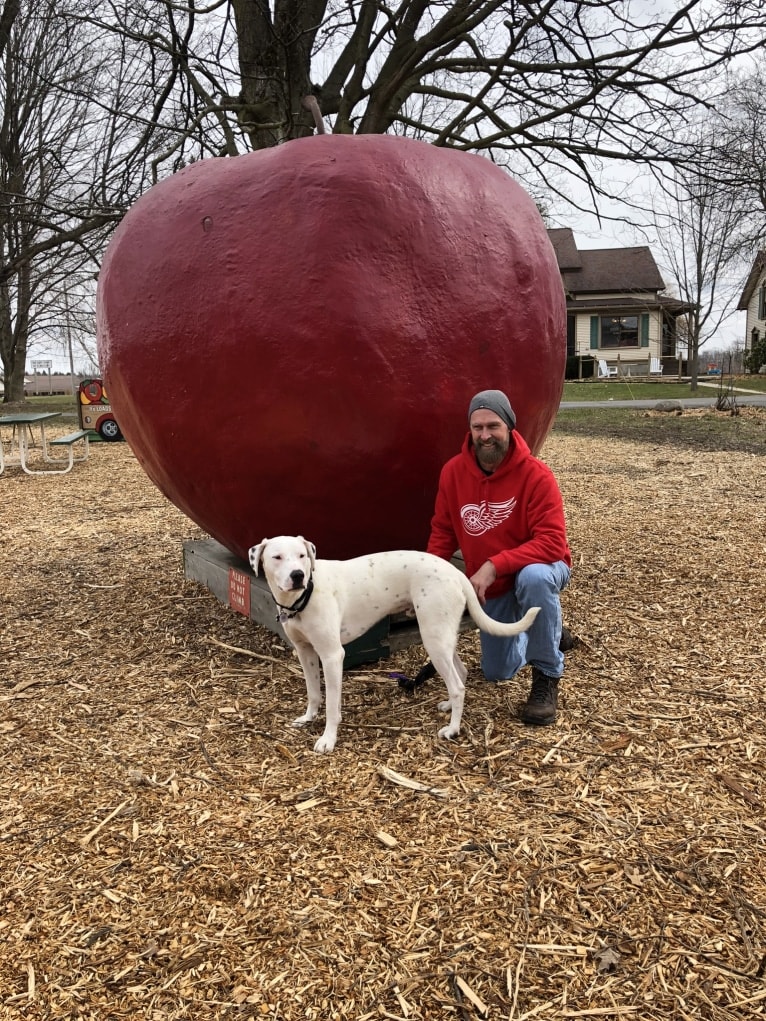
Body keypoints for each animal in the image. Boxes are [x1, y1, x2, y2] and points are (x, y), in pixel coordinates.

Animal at [249, 539, 543, 755]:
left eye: (301, 556)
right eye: (277, 557)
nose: (298, 575)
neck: (304, 595)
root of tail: (457, 573)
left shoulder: (332, 657)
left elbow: (332, 705)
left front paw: (328, 739)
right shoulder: (306, 652)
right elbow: (313, 693)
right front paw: (308, 718)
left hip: (433, 638)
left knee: (458, 685)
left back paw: (452, 730)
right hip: (441, 636)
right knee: (460, 674)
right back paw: (449, 706)